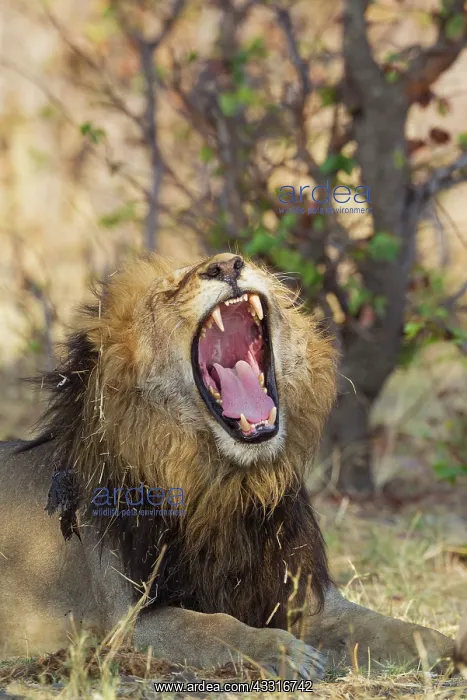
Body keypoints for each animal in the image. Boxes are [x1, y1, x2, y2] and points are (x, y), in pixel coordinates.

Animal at [0, 252, 454, 676]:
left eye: (243, 260)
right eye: (168, 290)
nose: (226, 265)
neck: (231, 485)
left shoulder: (308, 598)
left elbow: (391, 628)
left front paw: (450, 650)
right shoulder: (127, 623)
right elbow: (212, 626)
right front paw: (283, 651)